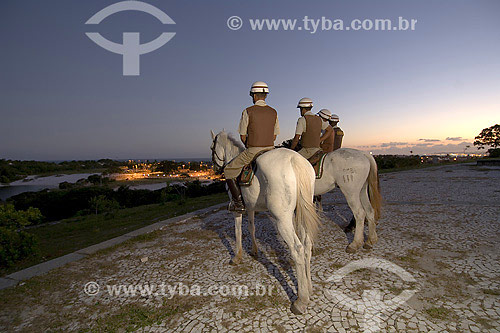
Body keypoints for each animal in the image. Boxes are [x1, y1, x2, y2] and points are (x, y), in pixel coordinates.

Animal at [210, 130, 320, 314]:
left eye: (212, 148)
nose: (216, 168)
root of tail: (295, 159)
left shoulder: (237, 210)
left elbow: (238, 231)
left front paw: (237, 257)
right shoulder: (251, 208)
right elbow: (251, 227)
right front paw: (254, 251)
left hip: (282, 220)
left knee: (297, 249)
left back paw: (301, 301)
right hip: (301, 213)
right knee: (306, 245)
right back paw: (309, 288)